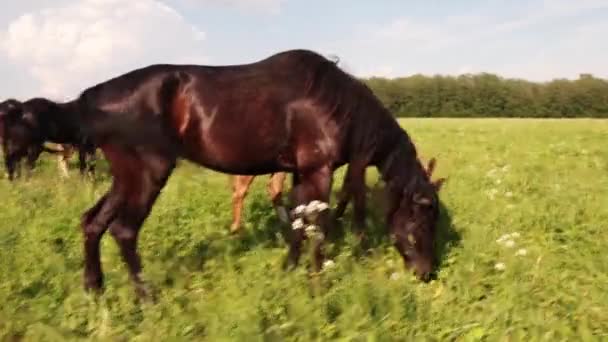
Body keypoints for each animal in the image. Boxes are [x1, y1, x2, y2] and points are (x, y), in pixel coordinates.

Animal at [1, 49, 446, 298]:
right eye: (423, 219)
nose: (426, 273)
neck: (336, 103)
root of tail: (87, 101)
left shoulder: (301, 175)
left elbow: (298, 226)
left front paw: (289, 271)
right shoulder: (318, 172)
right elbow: (316, 228)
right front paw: (317, 281)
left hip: (123, 177)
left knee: (92, 223)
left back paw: (94, 288)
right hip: (147, 174)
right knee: (124, 231)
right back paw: (146, 296)